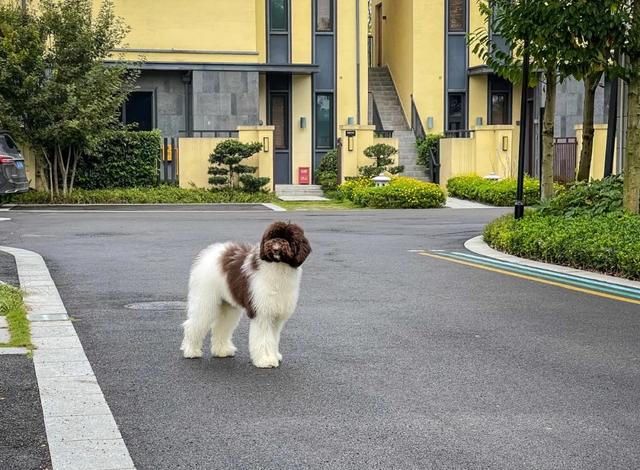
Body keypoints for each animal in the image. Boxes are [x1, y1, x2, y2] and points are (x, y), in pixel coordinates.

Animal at [180, 222, 310, 370]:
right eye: (272, 237)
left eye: (288, 238)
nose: (276, 246)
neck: (279, 267)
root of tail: (211, 253)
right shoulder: (262, 313)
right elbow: (263, 338)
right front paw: (266, 360)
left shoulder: (276, 315)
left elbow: (273, 338)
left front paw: (274, 355)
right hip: (205, 300)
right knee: (193, 324)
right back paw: (191, 351)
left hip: (228, 305)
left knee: (220, 326)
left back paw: (222, 350)